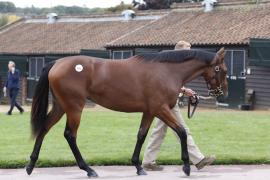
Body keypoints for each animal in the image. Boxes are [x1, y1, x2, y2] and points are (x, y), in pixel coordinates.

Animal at [25, 47, 228, 177]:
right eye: (223, 70)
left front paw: (138, 166)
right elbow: (181, 131)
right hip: (74, 107)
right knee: (70, 135)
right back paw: (88, 169)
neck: (166, 70)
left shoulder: (150, 111)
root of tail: (57, 62)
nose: (223, 93)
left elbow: (142, 135)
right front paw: (186, 167)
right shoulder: (160, 109)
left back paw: (30, 165)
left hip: (61, 106)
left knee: (44, 128)